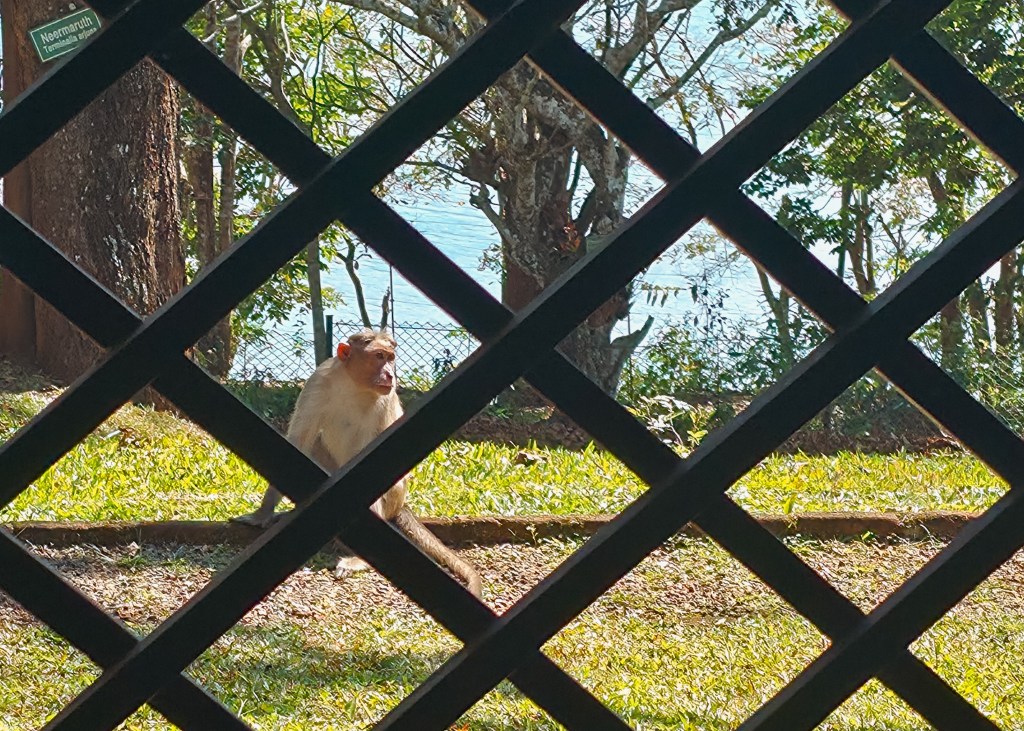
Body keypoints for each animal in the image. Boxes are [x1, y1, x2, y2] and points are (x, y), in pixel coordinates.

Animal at [232, 329, 483, 598]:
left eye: (391, 357)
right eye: (379, 356)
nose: (390, 374)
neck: (353, 385)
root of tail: (400, 506)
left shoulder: (385, 400)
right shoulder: (317, 382)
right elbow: (300, 441)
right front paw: (262, 513)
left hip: (393, 496)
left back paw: (358, 558)